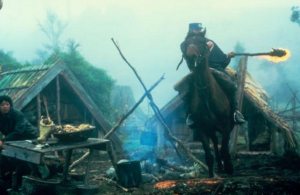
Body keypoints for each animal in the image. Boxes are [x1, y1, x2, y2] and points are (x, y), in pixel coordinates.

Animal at [180, 35, 234, 178]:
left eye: (201, 42)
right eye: (185, 44)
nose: (191, 57)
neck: (206, 93)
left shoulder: (226, 125)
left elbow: (225, 148)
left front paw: (229, 168)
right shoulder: (201, 128)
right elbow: (209, 156)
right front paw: (211, 175)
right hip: (211, 129)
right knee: (215, 142)